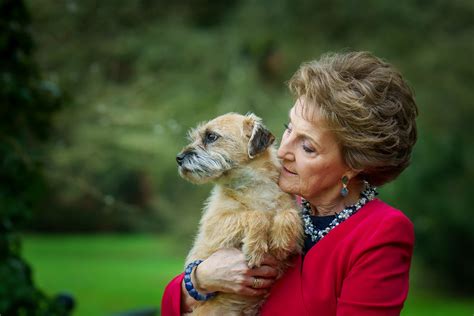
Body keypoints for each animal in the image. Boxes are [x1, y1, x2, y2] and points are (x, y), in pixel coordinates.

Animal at [176, 112, 302, 314]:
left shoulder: (292, 216)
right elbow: (256, 215)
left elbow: (289, 213)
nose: (178, 158)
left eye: (211, 136)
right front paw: (255, 249)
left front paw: (281, 242)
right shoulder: (215, 226)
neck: (253, 187)